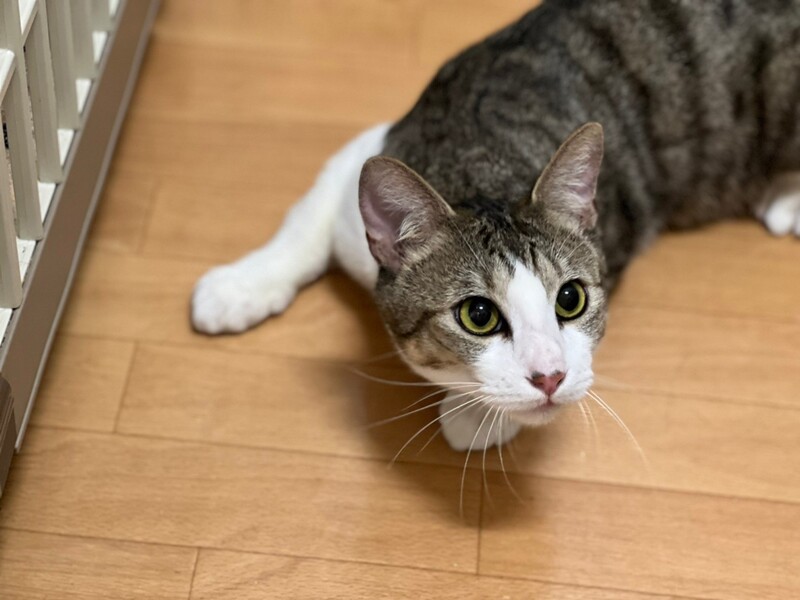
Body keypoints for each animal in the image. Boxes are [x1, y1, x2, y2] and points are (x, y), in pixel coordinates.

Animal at [191, 0, 800, 451]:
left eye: (571, 299)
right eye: (478, 315)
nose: (550, 377)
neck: (481, 160)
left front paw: (475, 416)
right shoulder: (359, 161)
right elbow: (303, 222)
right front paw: (238, 287)